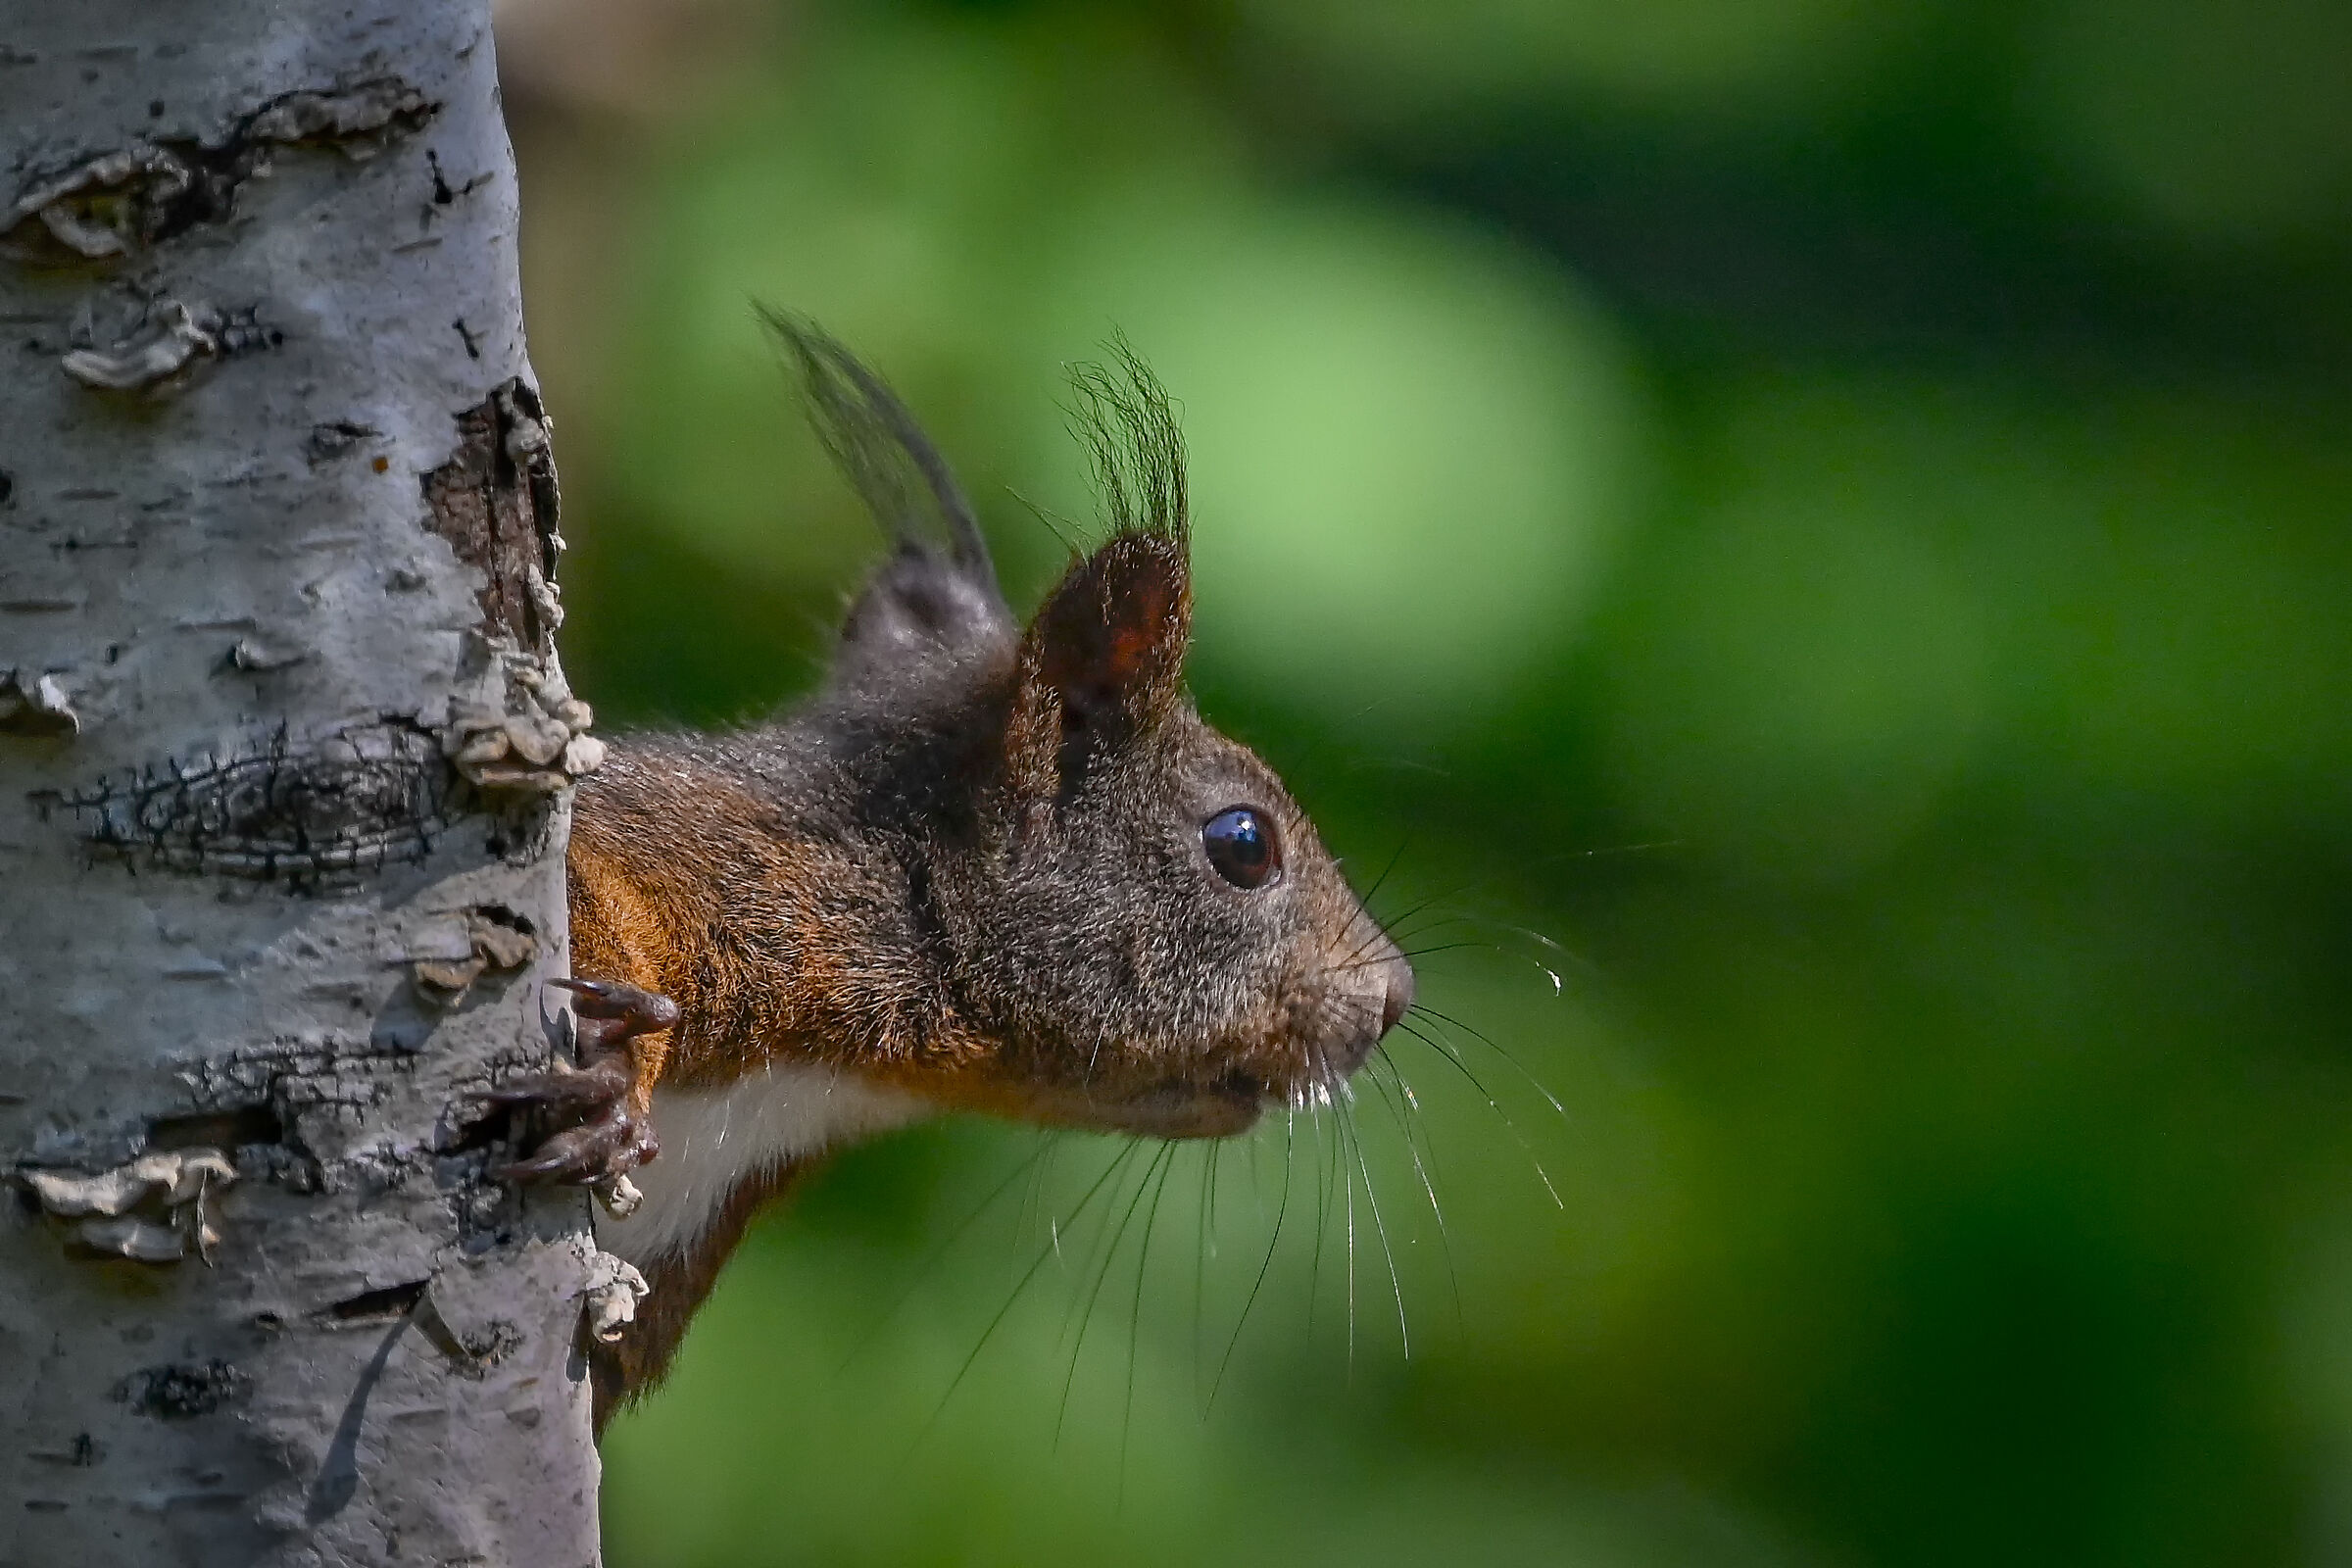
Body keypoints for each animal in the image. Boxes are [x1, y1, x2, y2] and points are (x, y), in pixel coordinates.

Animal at [483, 316, 1415, 1429]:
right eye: (1244, 843)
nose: (1394, 997)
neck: (821, 1084)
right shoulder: (722, 859)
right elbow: (597, 867)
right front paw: (617, 1075)